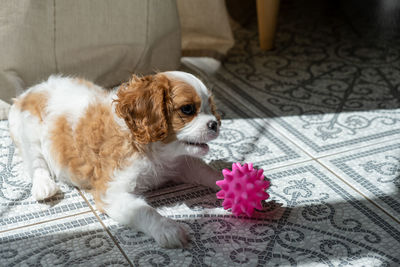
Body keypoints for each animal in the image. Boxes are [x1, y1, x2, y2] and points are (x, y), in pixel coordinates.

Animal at [7, 71, 222, 249]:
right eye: (187, 109)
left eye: (211, 108)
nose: (215, 124)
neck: (157, 153)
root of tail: (30, 91)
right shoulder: (111, 191)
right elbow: (144, 211)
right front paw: (167, 229)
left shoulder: (181, 163)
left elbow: (206, 172)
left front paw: (227, 182)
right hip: (28, 135)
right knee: (37, 165)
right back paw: (44, 186)